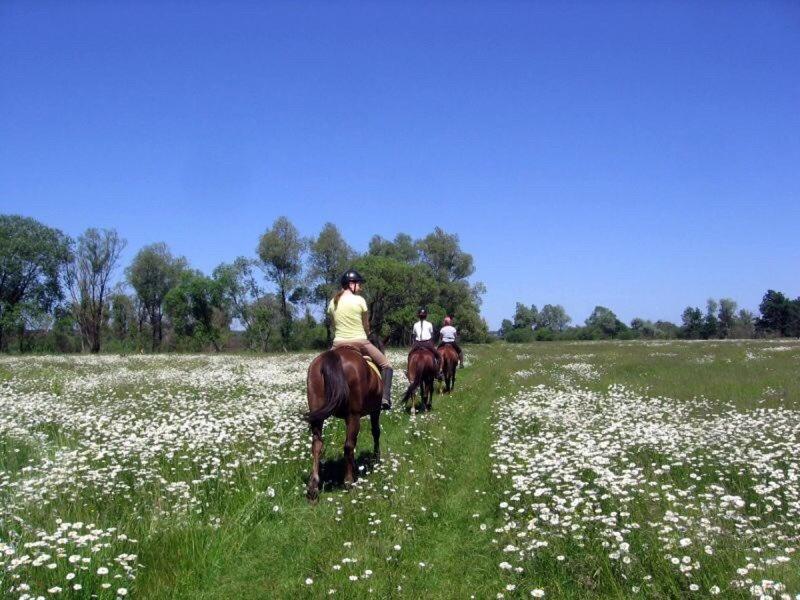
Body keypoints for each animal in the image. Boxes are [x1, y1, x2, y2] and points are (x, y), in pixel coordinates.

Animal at [304, 346, 382, 502]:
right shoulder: (375, 410)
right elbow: (376, 432)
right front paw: (376, 457)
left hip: (317, 414)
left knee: (317, 445)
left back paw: (313, 488)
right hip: (354, 415)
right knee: (349, 445)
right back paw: (349, 482)